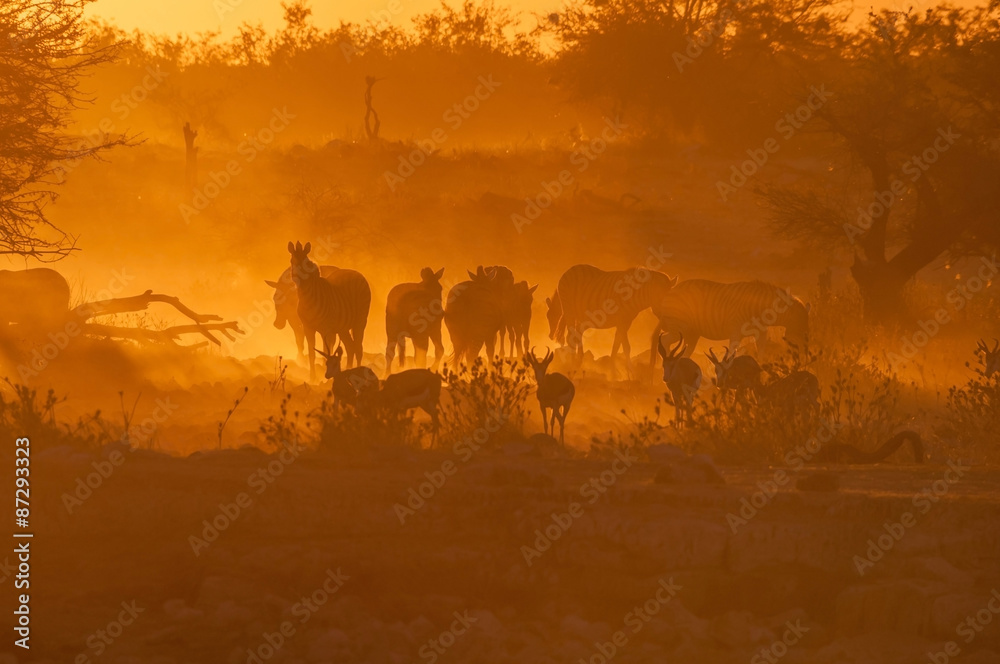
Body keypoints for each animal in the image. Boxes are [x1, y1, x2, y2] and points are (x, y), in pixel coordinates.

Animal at [287, 241, 371, 381]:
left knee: (358, 348)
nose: (298, 280)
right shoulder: (308, 328)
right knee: (350, 347)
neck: (307, 301)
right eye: (292, 261)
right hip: (343, 328)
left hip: (360, 321)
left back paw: (357, 370)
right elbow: (312, 353)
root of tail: (356, 272)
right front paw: (312, 378)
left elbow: (327, 351)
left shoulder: (327, 329)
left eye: (307, 262)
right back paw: (348, 369)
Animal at [550, 264, 679, 371]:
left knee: (577, 335)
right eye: (660, 297)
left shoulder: (626, 322)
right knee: (570, 337)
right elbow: (626, 347)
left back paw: (579, 360)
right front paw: (630, 372)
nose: (667, 324)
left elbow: (616, 346)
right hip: (569, 310)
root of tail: (569, 269)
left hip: (581, 316)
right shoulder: (621, 320)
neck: (633, 295)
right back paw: (572, 365)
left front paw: (613, 370)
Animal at [649, 279, 810, 364]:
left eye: (807, 330)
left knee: (684, 350)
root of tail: (671, 290)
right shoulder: (736, 331)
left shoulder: (761, 333)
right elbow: (732, 352)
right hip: (679, 327)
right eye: (800, 330)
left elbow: (761, 353)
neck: (760, 307)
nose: (805, 359)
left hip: (692, 333)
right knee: (665, 340)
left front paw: (762, 369)